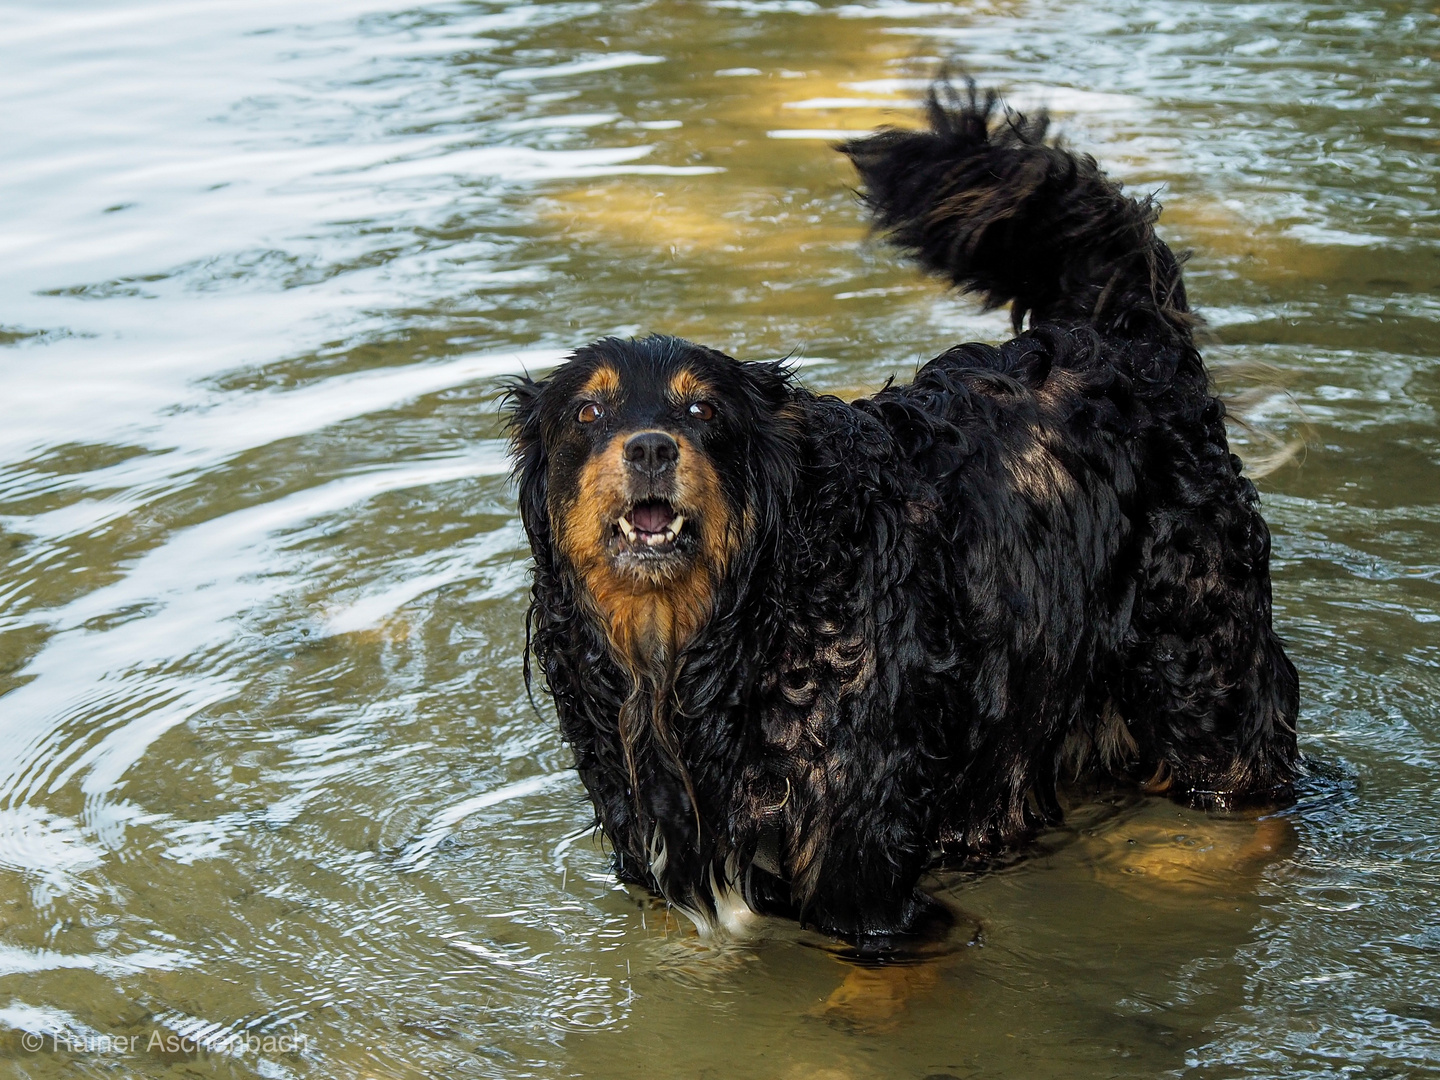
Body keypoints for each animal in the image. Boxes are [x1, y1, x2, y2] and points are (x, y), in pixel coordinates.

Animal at [509, 82, 1307, 944]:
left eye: (705, 410)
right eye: (588, 413)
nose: (651, 447)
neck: (725, 633)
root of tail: (1130, 337)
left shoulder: (866, 870)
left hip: (1203, 681)